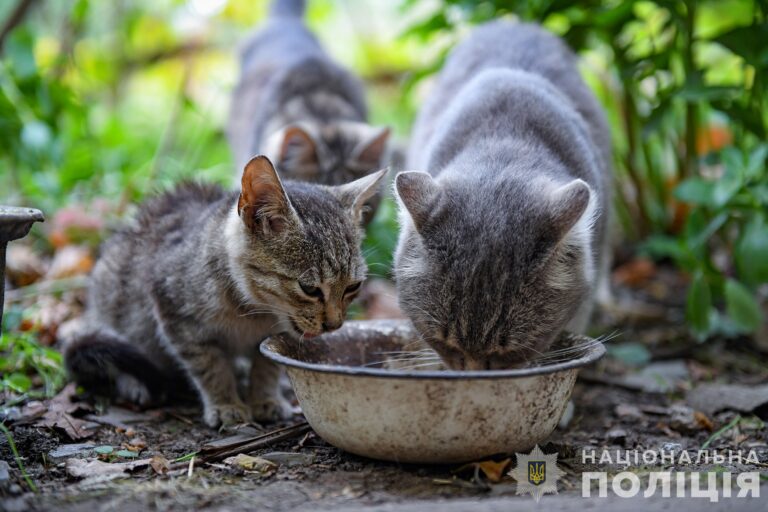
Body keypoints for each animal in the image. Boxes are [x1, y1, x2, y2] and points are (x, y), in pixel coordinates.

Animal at [63, 157, 384, 428]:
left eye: (353, 287)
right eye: (309, 288)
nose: (334, 325)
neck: (253, 312)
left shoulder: (274, 335)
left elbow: (266, 365)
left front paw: (264, 397)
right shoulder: (174, 313)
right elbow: (209, 366)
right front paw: (226, 403)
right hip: (113, 295)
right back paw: (135, 383)